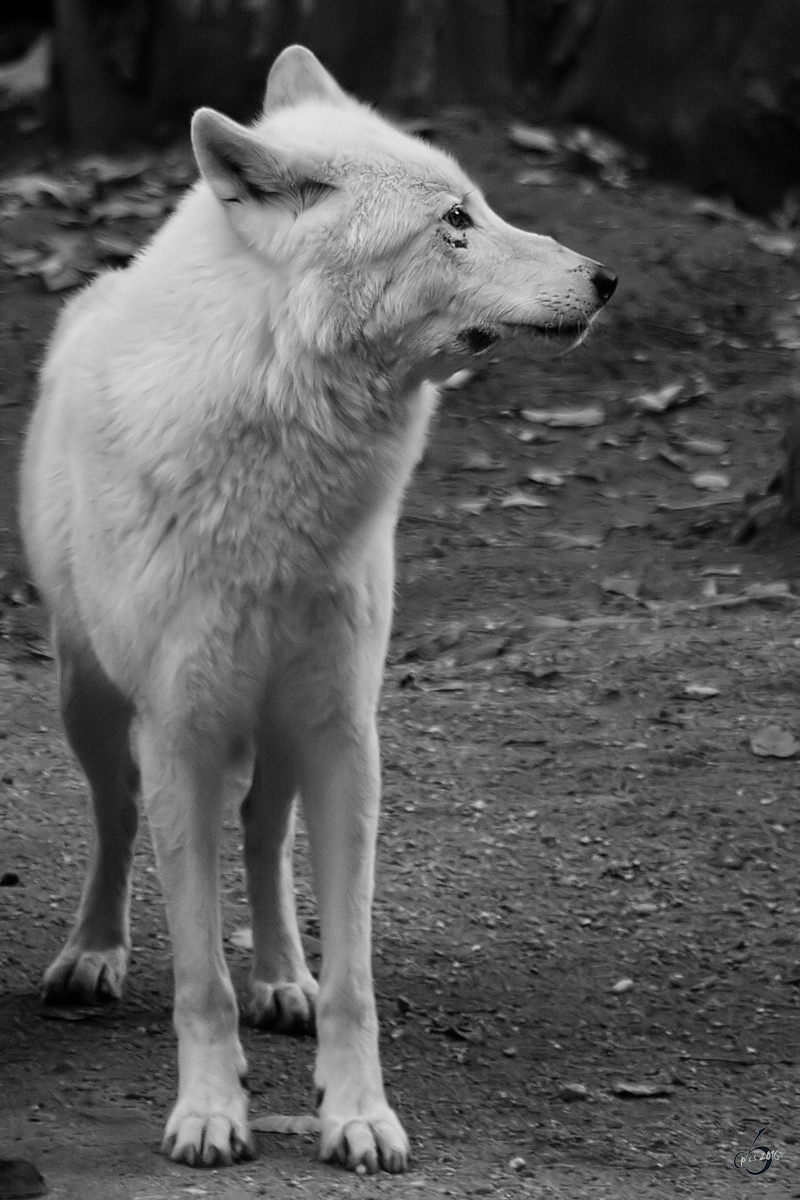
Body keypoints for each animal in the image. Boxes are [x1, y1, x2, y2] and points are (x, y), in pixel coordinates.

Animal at [20, 44, 618, 1171]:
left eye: (480, 201)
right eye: (454, 219)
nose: (606, 278)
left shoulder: (346, 729)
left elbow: (354, 977)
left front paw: (357, 1114)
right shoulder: (181, 731)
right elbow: (198, 977)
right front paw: (211, 1112)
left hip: (287, 725)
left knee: (262, 832)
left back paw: (282, 978)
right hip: (92, 702)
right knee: (117, 819)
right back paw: (93, 953)